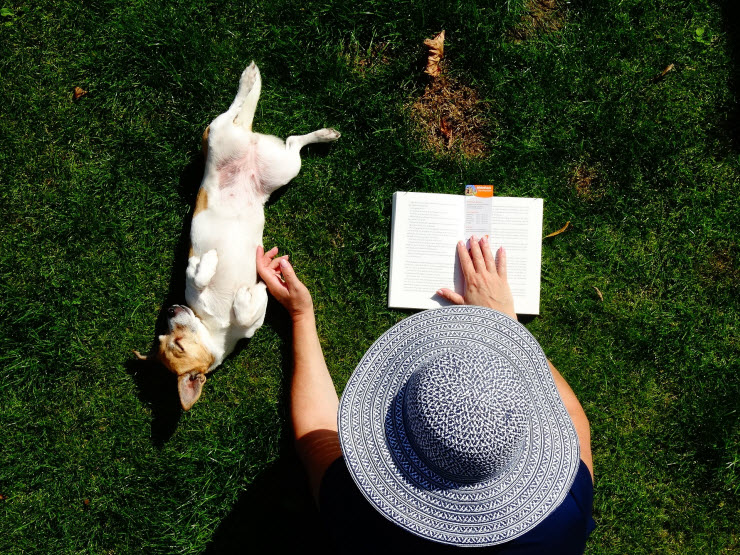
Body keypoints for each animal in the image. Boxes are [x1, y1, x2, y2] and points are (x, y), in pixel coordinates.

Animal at [134, 63, 340, 410]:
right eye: (164, 336)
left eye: (177, 343)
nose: (171, 309)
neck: (218, 327)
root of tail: (247, 138)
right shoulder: (250, 324)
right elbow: (249, 310)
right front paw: (250, 292)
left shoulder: (195, 285)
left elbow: (198, 273)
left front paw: (209, 264)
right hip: (284, 165)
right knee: (289, 139)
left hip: (225, 136)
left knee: (236, 110)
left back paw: (251, 80)